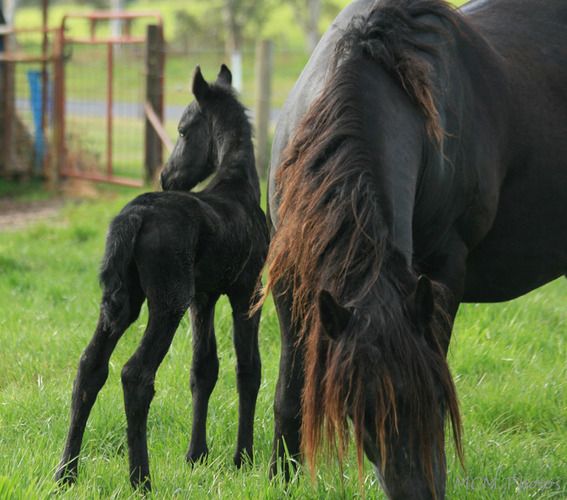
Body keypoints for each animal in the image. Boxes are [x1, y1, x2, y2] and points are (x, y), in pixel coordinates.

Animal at [55, 65, 269, 491]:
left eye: (183, 130)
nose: (166, 176)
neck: (237, 187)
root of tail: (134, 216)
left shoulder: (203, 297)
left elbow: (204, 368)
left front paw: (196, 455)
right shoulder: (246, 291)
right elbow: (247, 369)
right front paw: (243, 458)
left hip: (123, 302)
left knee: (90, 367)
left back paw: (66, 472)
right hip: (168, 302)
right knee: (135, 374)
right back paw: (141, 478)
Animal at [261, 0, 567, 498]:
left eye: (438, 401)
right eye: (360, 411)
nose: (419, 492)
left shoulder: (443, 271)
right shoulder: (292, 277)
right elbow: (290, 390)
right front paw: (279, 478)